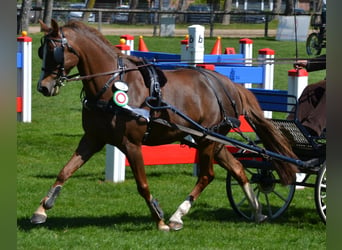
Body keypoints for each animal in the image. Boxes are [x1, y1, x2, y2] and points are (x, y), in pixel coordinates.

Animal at [30, 19, 298, 230]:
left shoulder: (131, 144)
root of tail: (227, 85)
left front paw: (158, 219)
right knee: (239, 170)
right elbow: (65, 171)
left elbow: (142, 184)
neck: (112, 84)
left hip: (207, 140)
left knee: (207, 175)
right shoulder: (93, 139)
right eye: (41, 51)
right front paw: (42, 209)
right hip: (215, 142)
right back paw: (257, 211)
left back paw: (177, 216)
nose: (43, 87)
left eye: (54, 51)